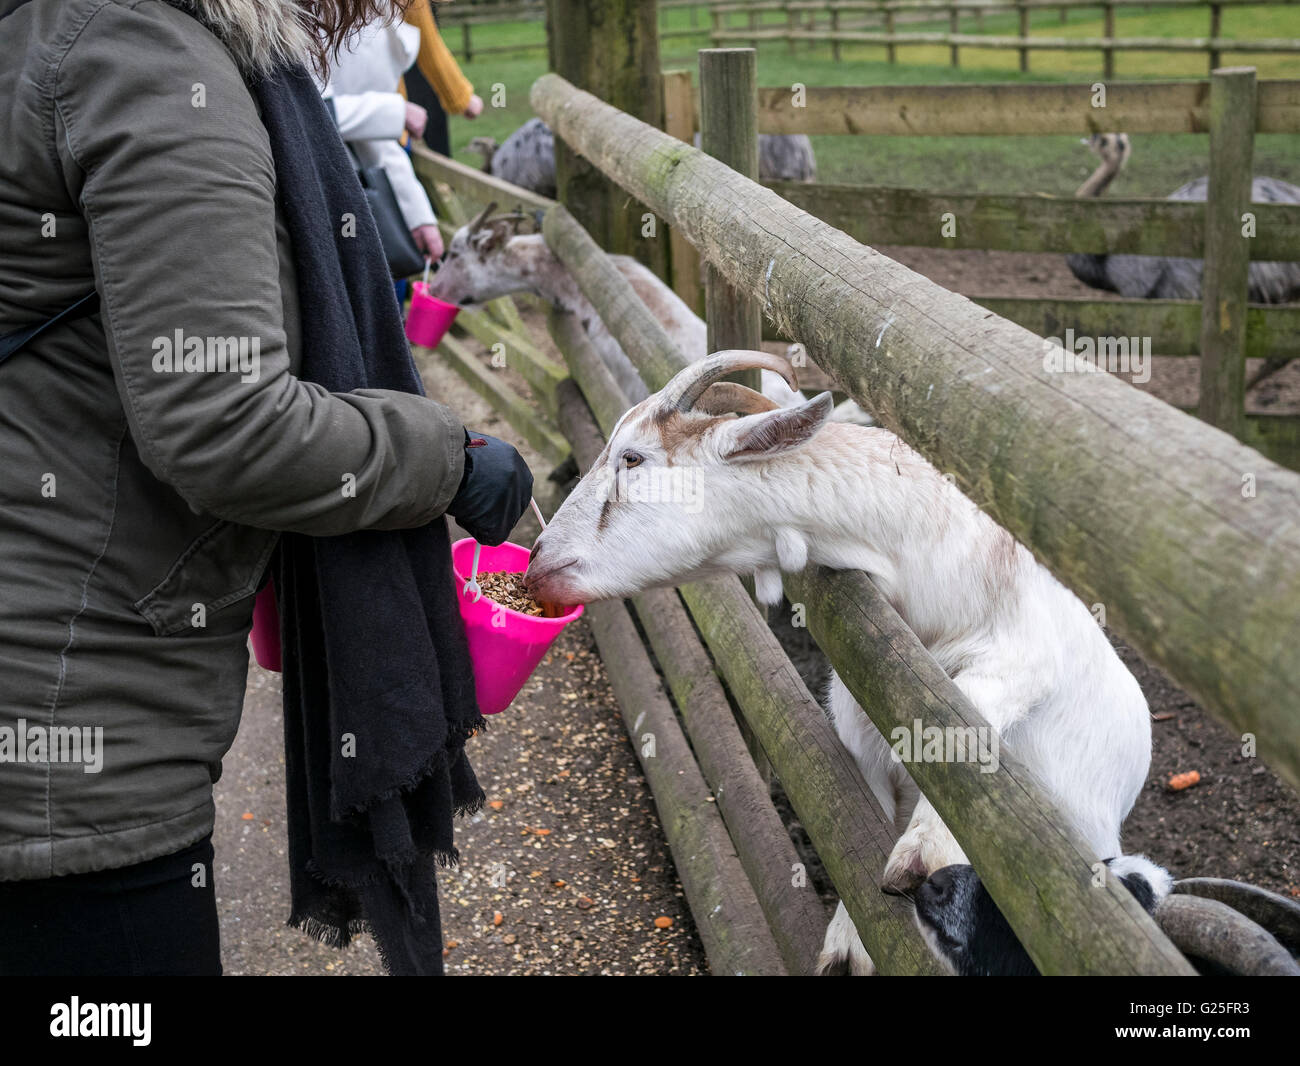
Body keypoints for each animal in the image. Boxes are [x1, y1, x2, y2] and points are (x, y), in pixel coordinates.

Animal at [525, 351, 1153, 975]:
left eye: (632, 457)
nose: (537, 562)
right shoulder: (858, 727)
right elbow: (859, 823)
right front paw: (849, 946)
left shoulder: (1027, 655)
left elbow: (961, 728)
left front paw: (922, 854)